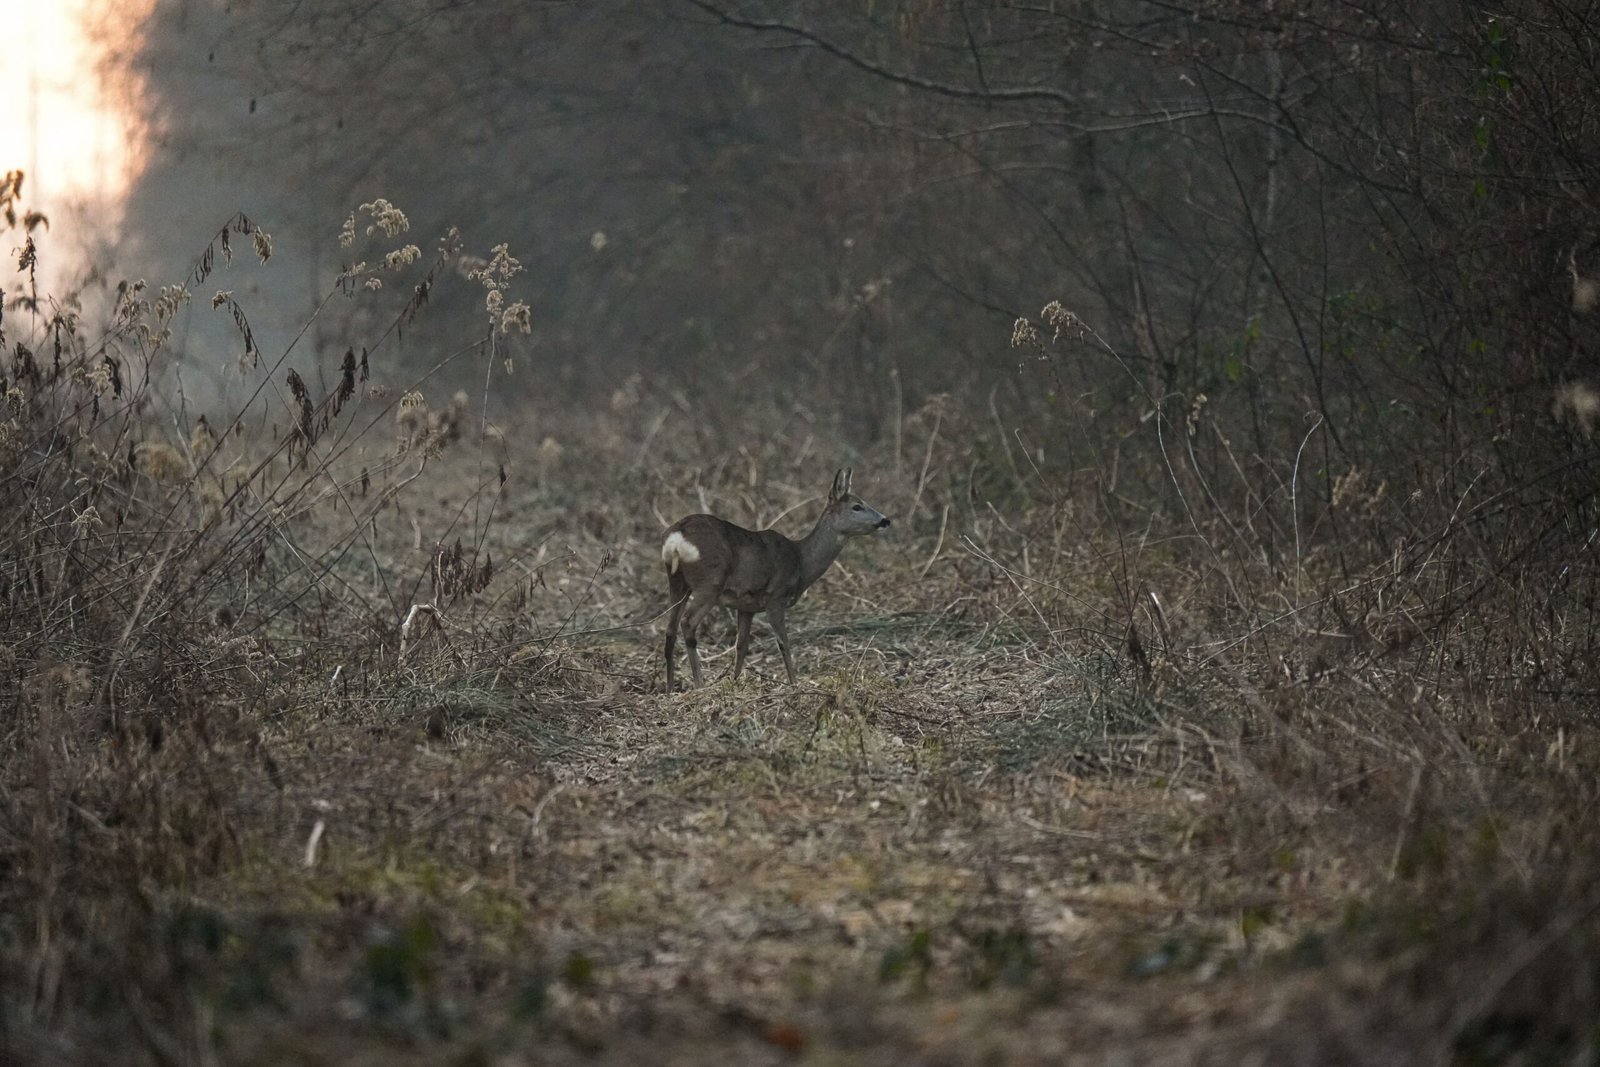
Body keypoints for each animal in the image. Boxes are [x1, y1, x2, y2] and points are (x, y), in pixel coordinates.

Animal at [661, 469, 891, 692]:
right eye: (857, 506)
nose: (885, 520)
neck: (801, 561)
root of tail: (676, 538)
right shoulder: (776, 598)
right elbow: (784, 644)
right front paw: (795, 685)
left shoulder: (746, 607)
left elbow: (741, 645)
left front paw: (734, 683)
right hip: (710, 582)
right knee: (688, 623)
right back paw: (699, 684)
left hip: (677, 582)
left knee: (670, 629)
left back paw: (670, 687)